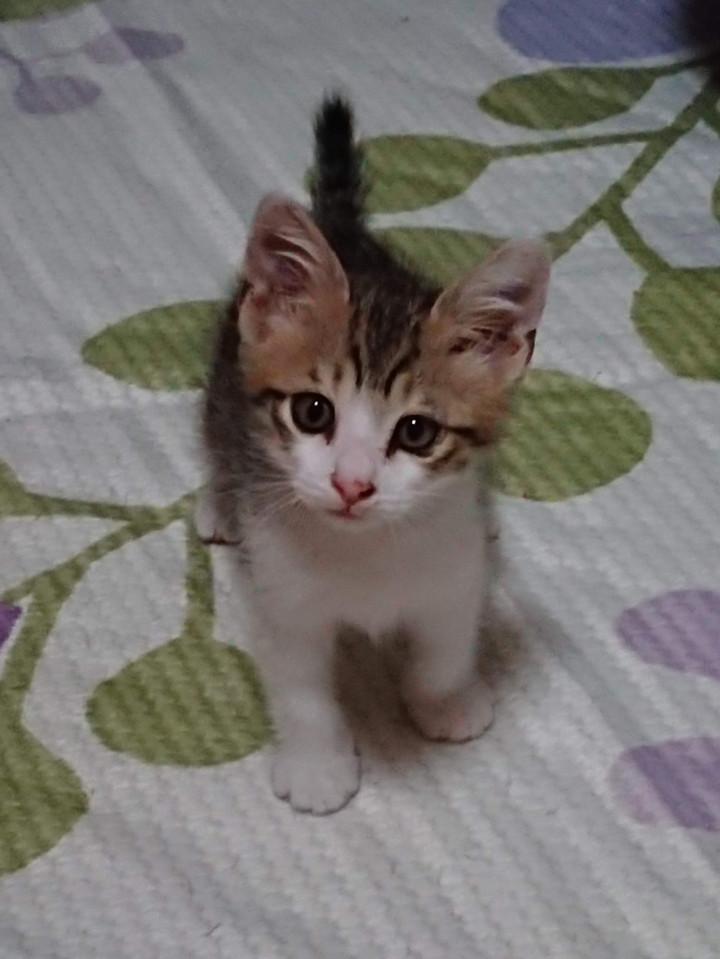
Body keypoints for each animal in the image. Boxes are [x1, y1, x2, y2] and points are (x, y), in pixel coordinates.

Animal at [196, 94, 551, 815]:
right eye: (312, 412)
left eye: (416, 432)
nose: (352, 485)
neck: (365, 554)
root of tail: (343, 231)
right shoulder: (285, 601)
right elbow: (302, 692)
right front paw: (317, 766)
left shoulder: (452, 573)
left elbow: (444, 648)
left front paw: (445, 703)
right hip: (223, 382)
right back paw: (218, 506)